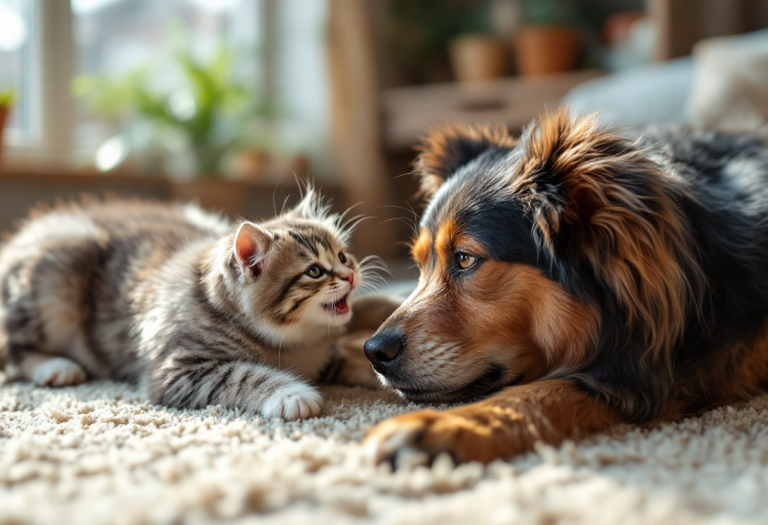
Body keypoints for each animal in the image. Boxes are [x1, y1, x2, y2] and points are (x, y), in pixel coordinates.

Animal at [0, 190, 390, 420]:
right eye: (314, 271)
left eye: (343, 256)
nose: (350, 275)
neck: (296, 342)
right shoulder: (177, 370)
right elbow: (243, 374)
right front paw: (291, 393)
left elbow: (350, 350)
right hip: (53, 282)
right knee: (14, 349)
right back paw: (54, 366)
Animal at [360, 109, 768, 462]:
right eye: (419, 265)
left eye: (464, 259)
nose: (374, 352)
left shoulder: (651, 372)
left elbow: (548, 389)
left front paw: (443, 426)